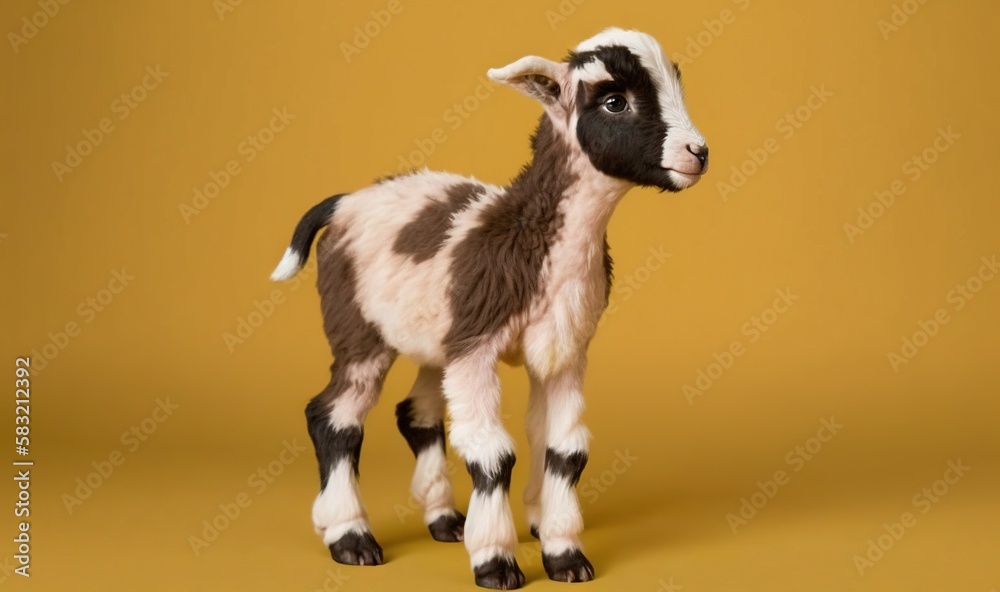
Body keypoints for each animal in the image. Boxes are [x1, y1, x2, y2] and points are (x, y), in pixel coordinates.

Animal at [272, 26, 712, 588]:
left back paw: (443, 518)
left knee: (415, 412)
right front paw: (496, 561)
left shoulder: (564, 350)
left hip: (436, 338)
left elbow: (564, 448)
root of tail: (344, 201)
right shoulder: (476, 349)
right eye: (615, 101)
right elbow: (492, 455)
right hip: (357, 328)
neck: (526, 234)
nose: (697, 152)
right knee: (334, 416)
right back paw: (350, 536)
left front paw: (563, 551)